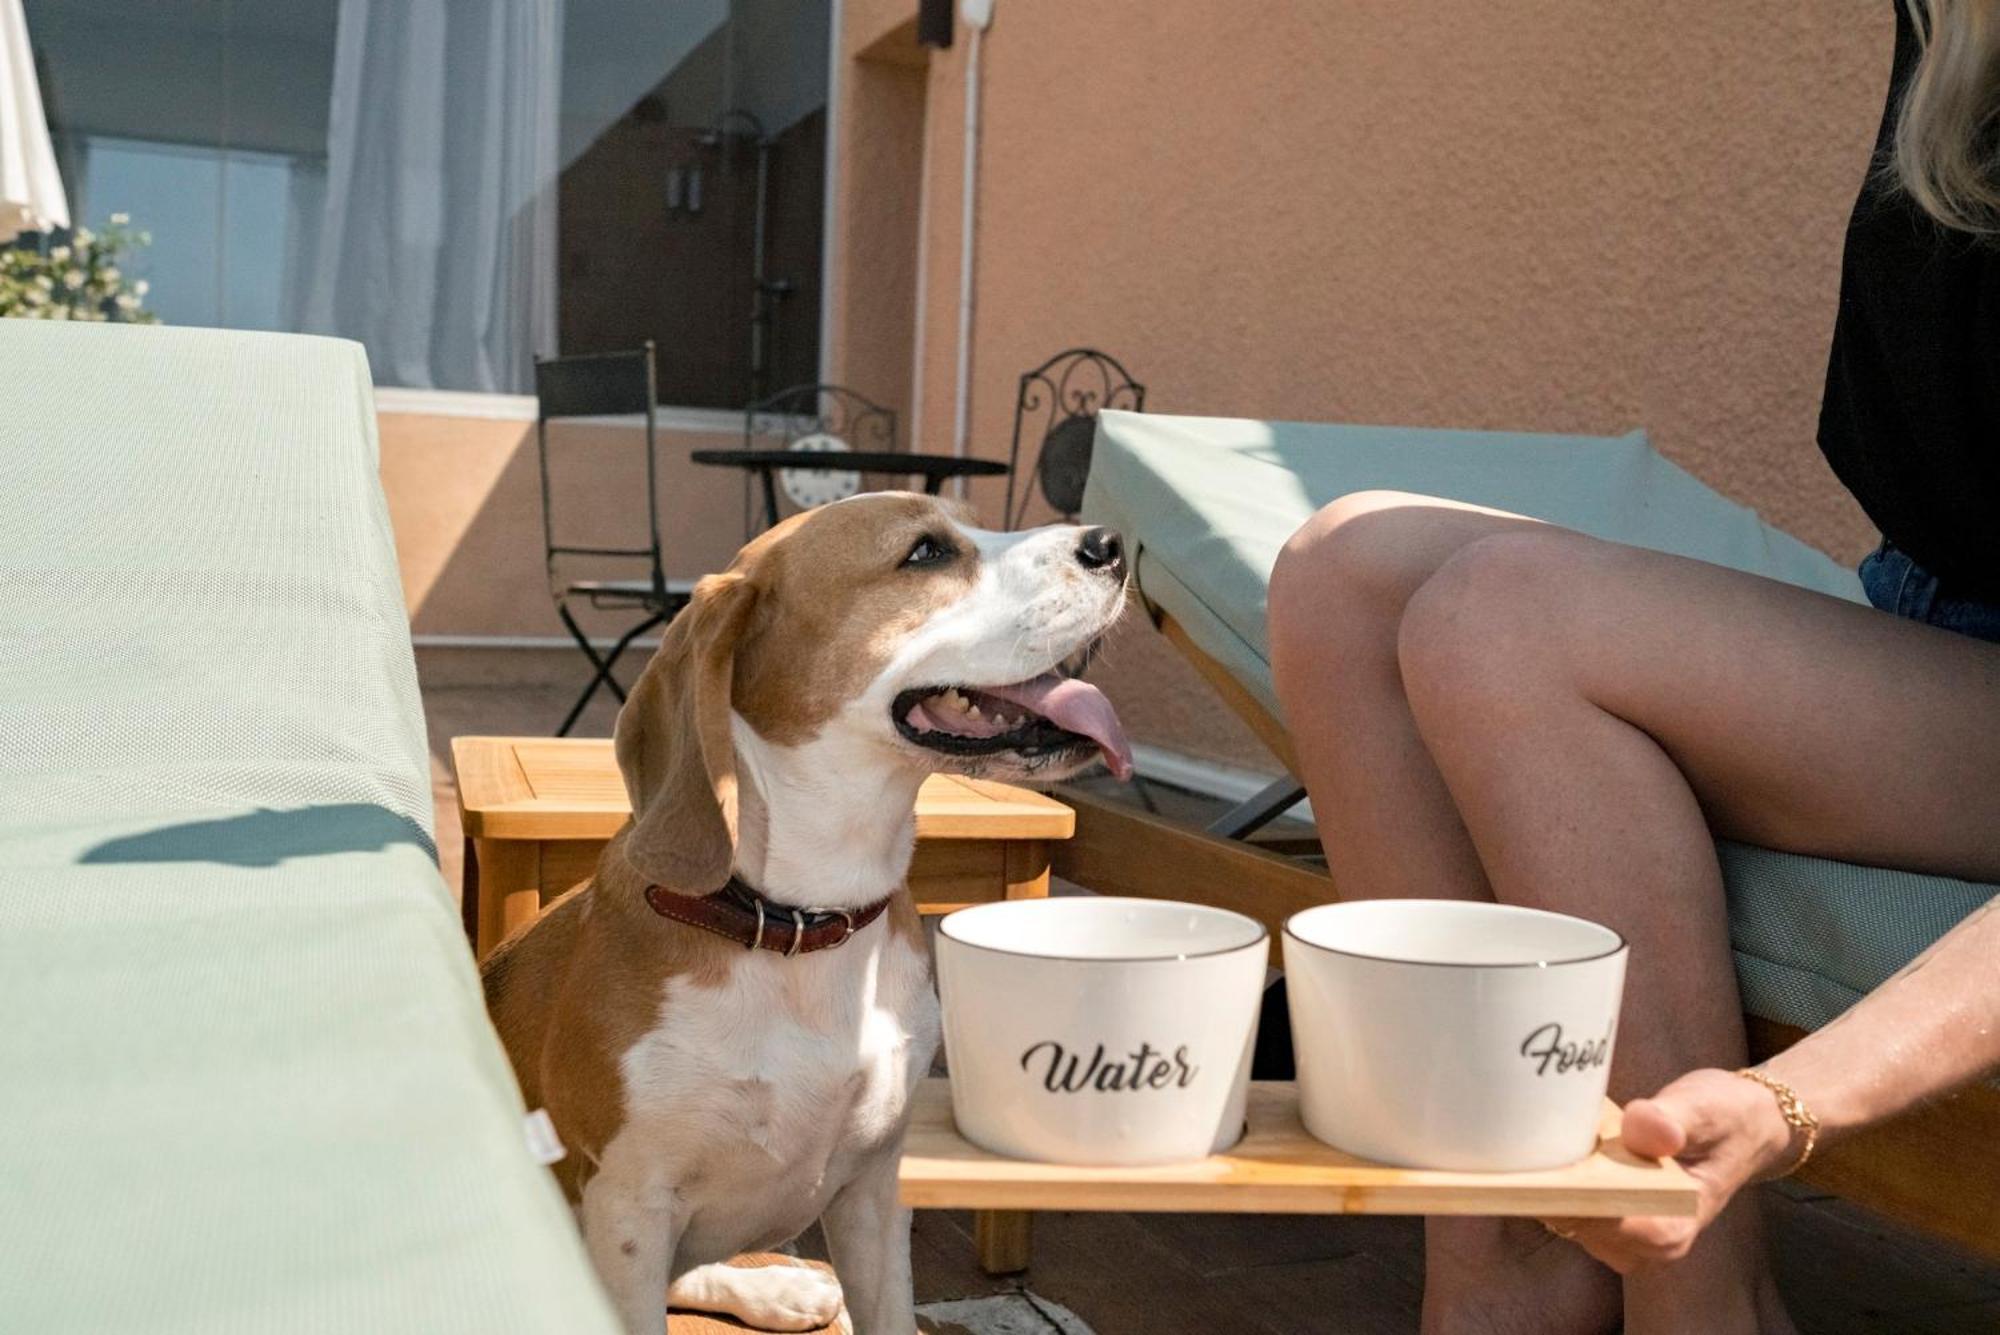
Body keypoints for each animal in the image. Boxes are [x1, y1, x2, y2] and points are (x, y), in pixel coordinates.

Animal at [480, 495, 1128, 1327]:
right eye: (924, 552)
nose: (1111, 542)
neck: (800, 923)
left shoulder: (876, 1190)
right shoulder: (629, 1209)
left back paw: (778, 1284)